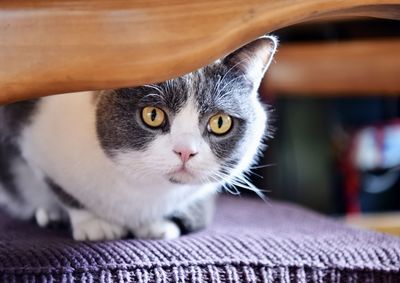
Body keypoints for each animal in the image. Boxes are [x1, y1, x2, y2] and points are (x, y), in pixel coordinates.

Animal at [0, 35, 276, 240]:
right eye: (153, 115)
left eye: (220, 122)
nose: (185, 151)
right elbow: (61, 189)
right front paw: (94, 224)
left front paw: (158, 225)